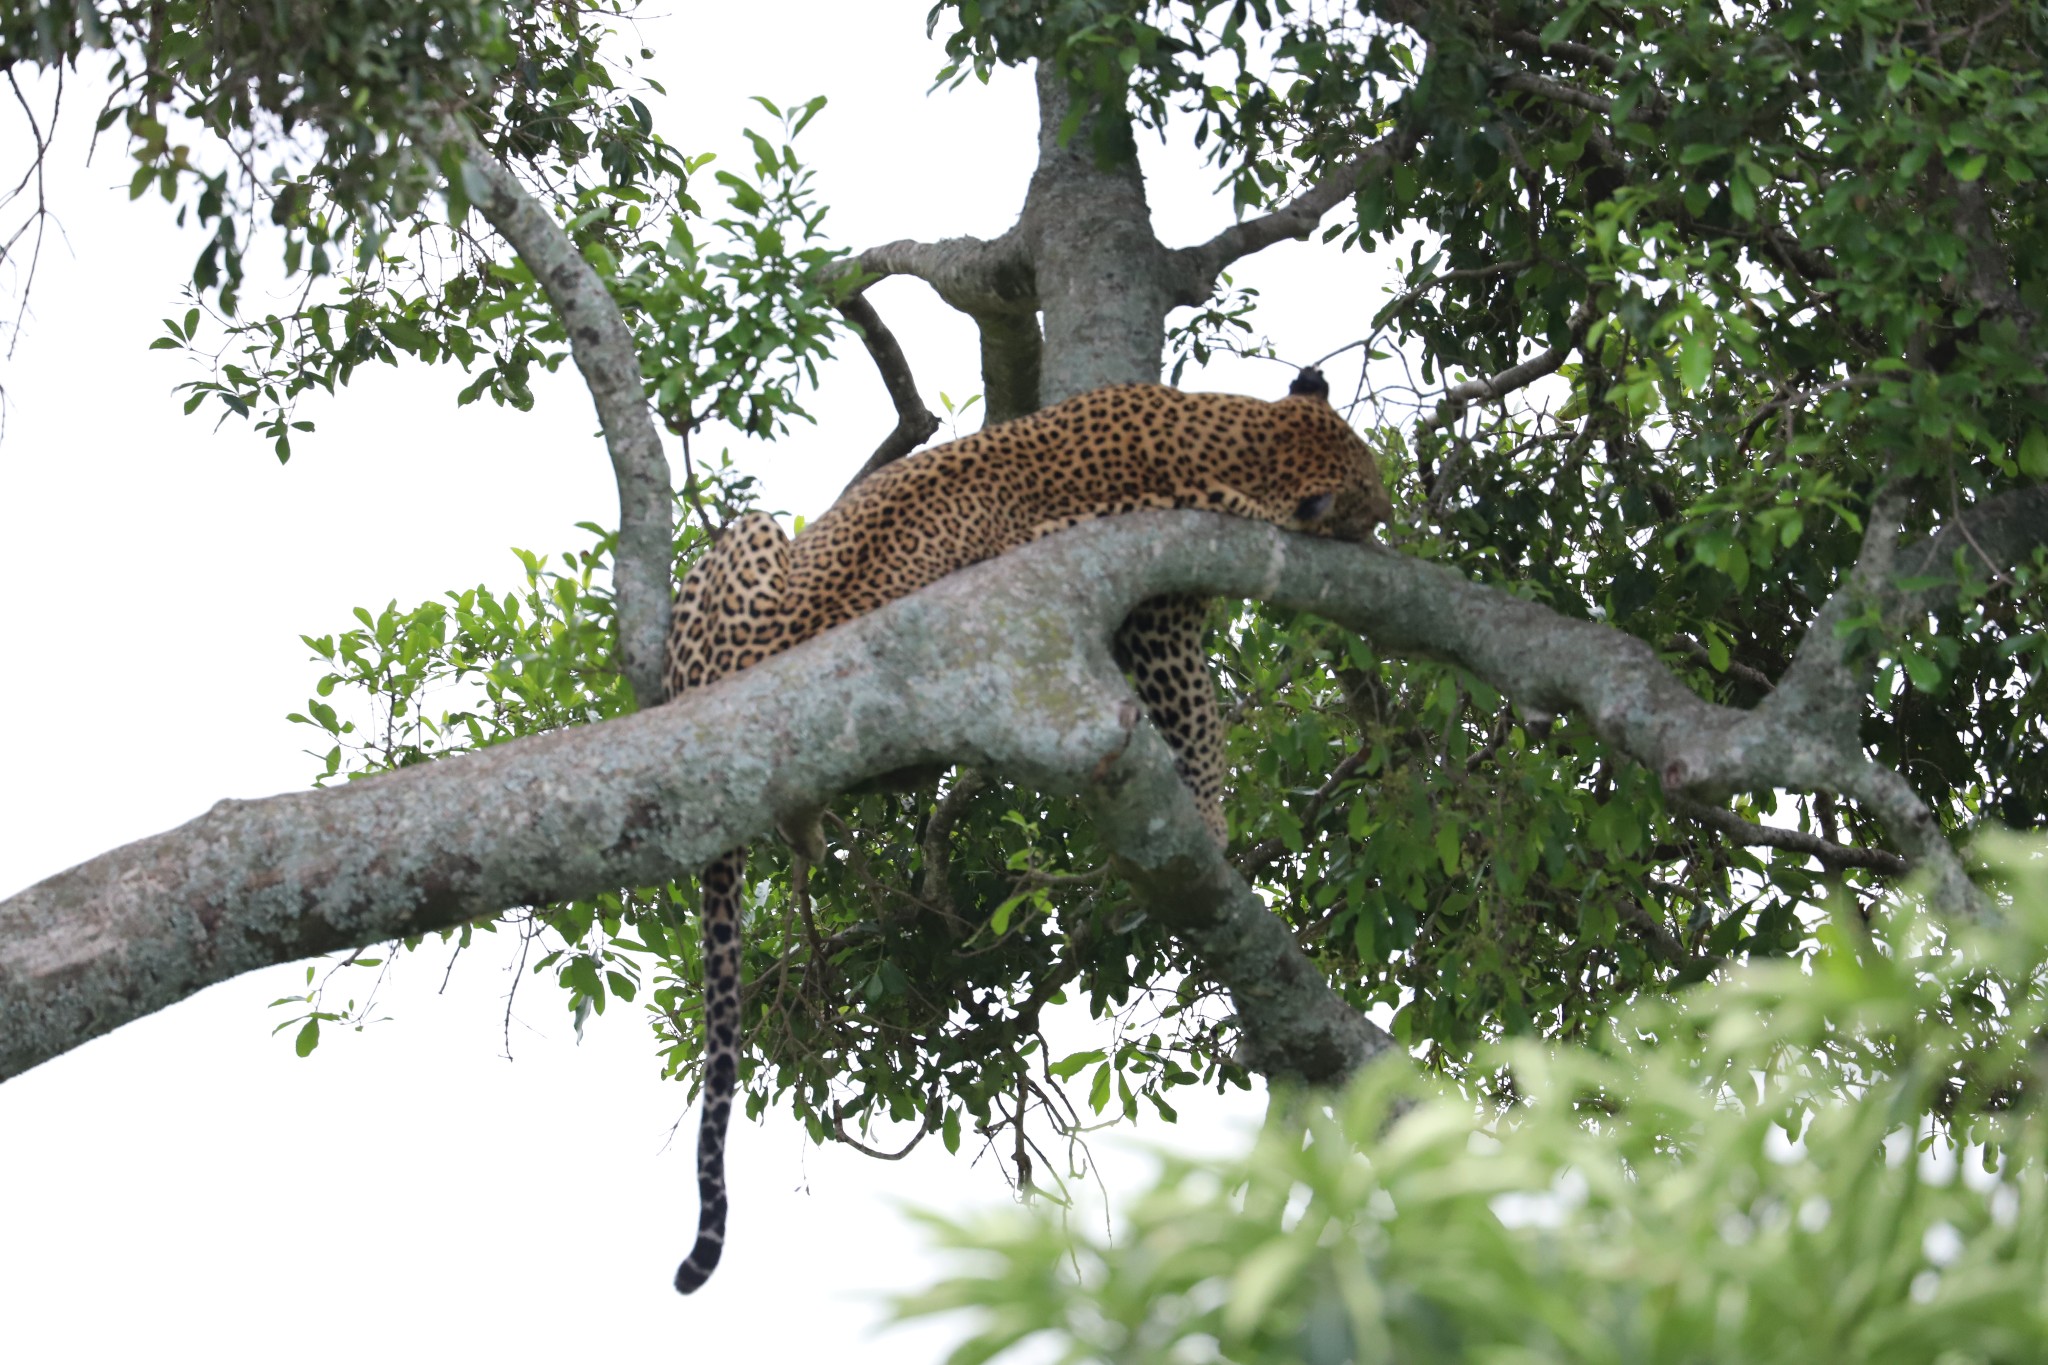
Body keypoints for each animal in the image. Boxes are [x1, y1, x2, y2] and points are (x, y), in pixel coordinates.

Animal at [655, 368, 1392, 1301]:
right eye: (1366, 494)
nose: (1391, 513)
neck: (1228, 428)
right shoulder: (1162, 614)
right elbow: (1197, 716)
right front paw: (1214, 821)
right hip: (752, 536)